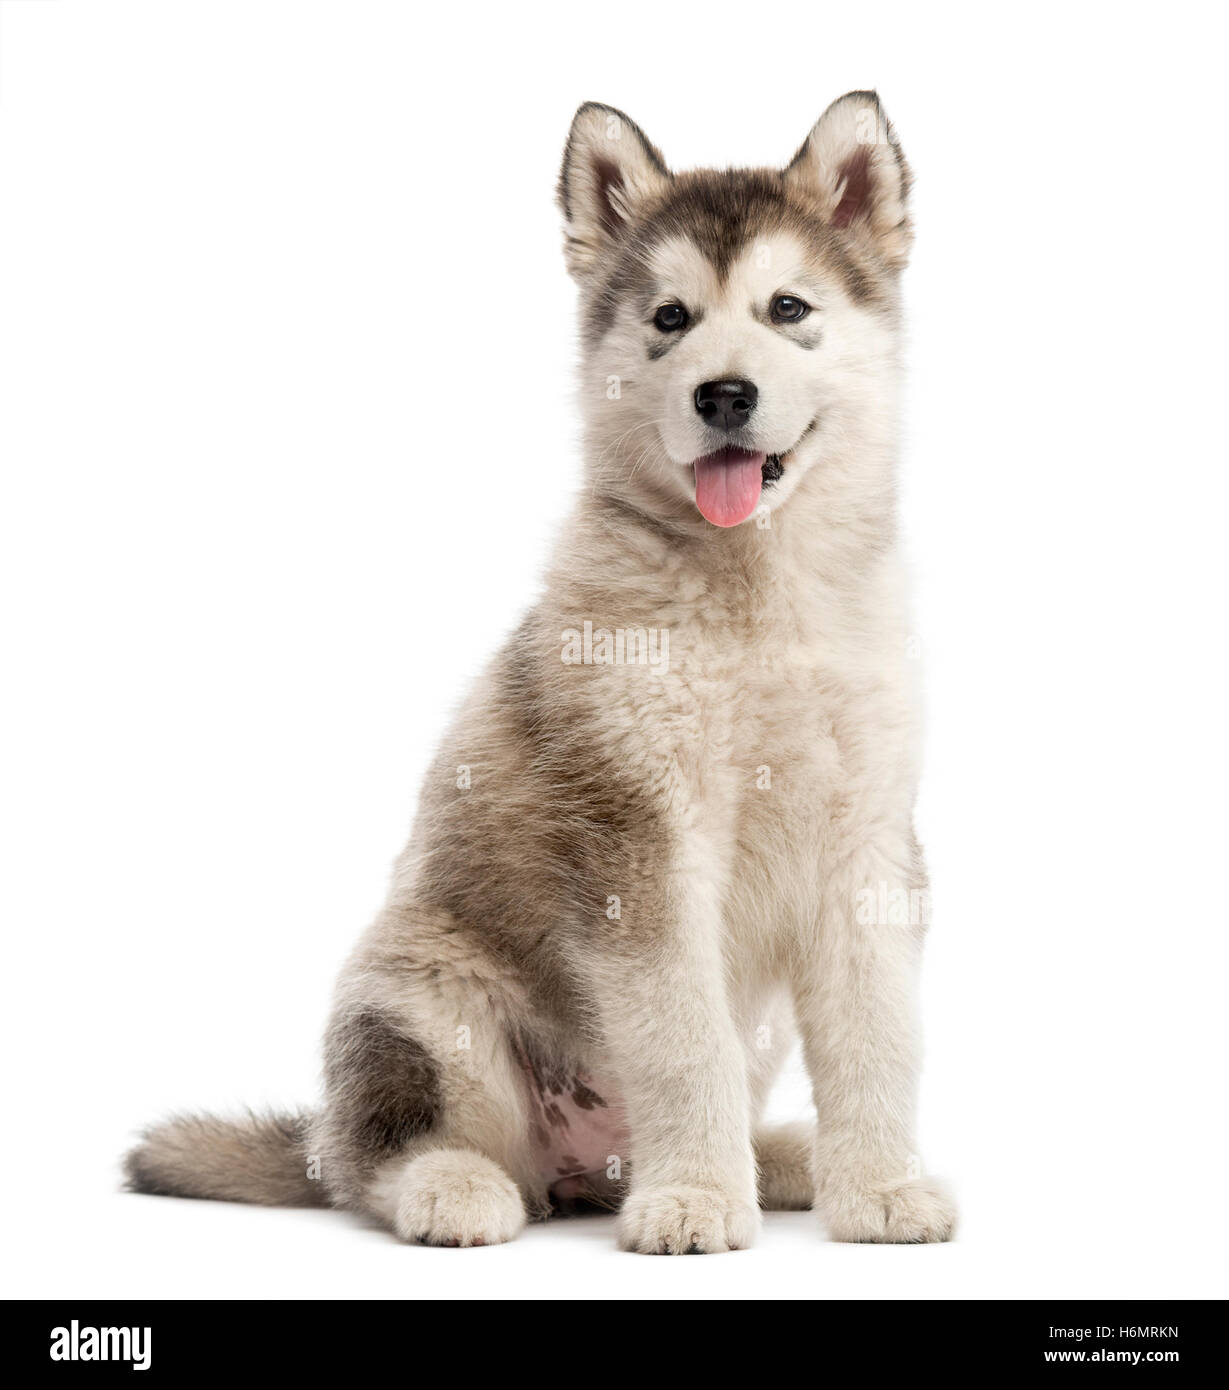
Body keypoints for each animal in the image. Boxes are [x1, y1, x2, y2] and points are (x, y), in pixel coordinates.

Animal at [125, 92, 956, 1256]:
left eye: (787, 307)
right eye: (669, 319)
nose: (724, 394)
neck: (758, 596)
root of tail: (580, 1167)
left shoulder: (868, 836)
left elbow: (878, 1031)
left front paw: (878, 1184)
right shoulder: (641, 841)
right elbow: (681, 1039)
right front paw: (695, 1200)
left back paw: (779, 1158)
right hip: (423, 1001)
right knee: (378, 1161)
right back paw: (466, 1190)